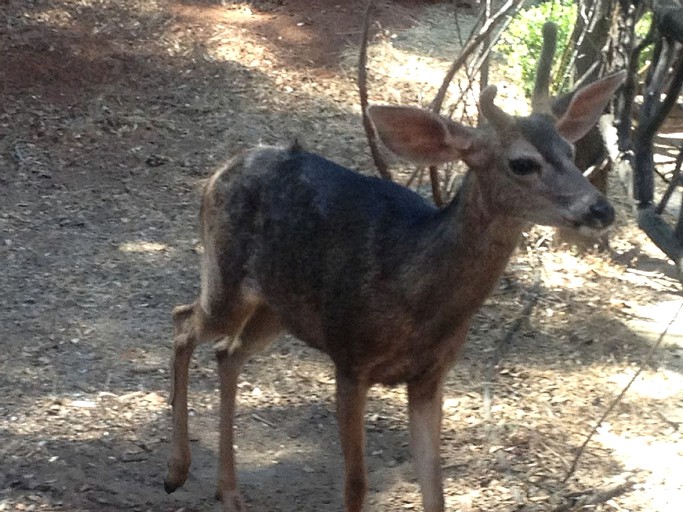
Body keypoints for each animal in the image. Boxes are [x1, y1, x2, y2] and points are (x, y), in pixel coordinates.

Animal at [163, 66, 628, 510]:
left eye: (571, 152)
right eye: (522, 163)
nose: (601, 209)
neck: (415, 293)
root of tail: (221, 170)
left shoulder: (430, 377)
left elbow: (435, 489)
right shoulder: (351, 360)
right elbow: (356, 486)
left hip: (278, 309)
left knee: (227, 352)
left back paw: (228, 491)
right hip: (226, 280)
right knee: (183, 322)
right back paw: (176, 471)